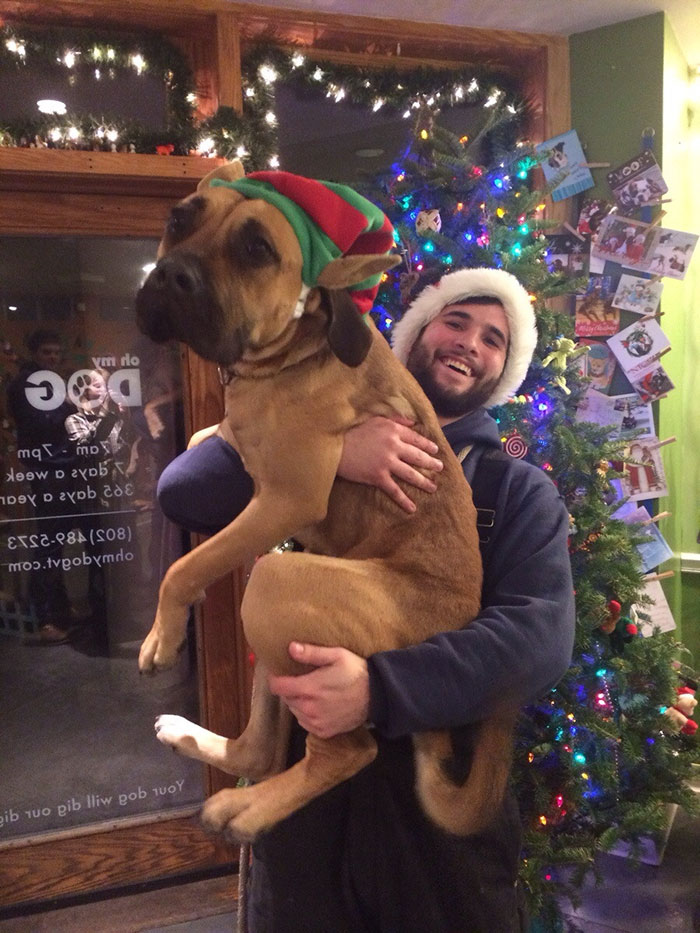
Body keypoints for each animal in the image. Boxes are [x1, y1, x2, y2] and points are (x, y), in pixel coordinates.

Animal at [135, 160, 516, 844]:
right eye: (179, 219)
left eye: (257, 250)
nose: (173, 275)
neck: (291, 350)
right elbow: (212, 442)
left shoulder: (286, 499)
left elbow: (185, 565)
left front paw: (163, 634)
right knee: (260, 750)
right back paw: (201, 750)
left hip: (278, 582)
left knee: (346, 752)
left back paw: (252, 810)